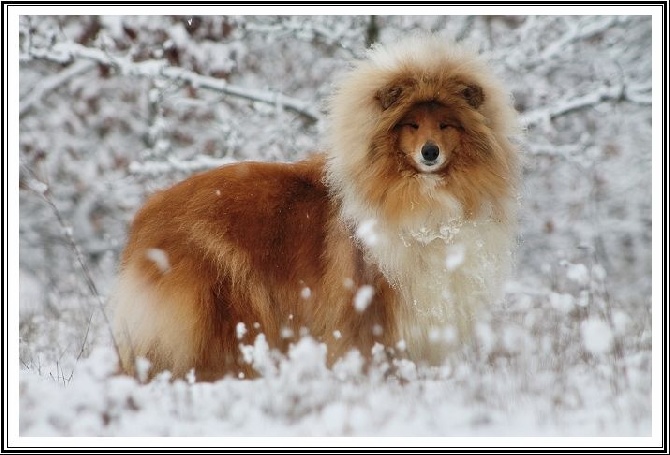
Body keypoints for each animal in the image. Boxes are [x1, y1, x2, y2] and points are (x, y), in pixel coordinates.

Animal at [110, 35, 524, 382]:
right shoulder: (371, 307)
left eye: (445, 125)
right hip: (226, 310)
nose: (430, 152)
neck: (424, 197)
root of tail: (147, 213)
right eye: (411, 124)